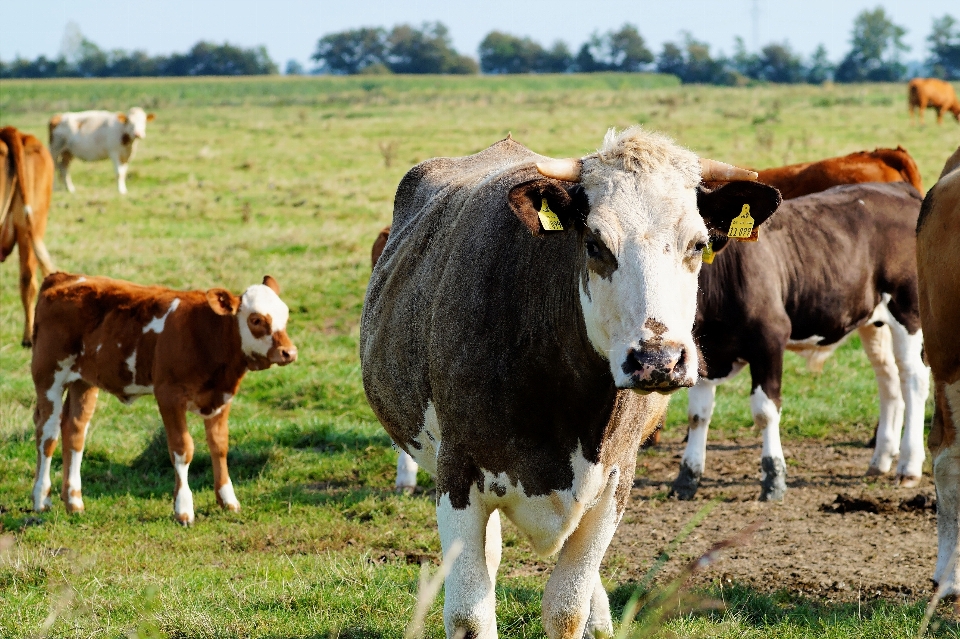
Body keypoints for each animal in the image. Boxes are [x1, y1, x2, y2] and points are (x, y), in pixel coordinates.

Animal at [31, 272, 296, 524]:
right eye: (256, 320)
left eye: (285, 315)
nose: (289, 352)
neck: (206, 333)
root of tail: (62, 277)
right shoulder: (169, 396)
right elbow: (182, 449)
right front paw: (184, 509)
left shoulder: (222, 397)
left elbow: (219, 446)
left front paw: (228, 500)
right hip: (48, 377)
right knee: (48, 434)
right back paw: (41, 499)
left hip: (84, 383)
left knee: (74, 432)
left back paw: (74, 502)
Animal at [672, 182, 928, 502]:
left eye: (697, 242)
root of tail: (898, 188)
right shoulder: (704, 351)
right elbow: (698, 414)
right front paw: (687, 478)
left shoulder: (770, 337)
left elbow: (765, 411)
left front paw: (773, 478)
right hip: (873, 320)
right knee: (889, 378)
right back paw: (880, 459)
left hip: (908, 308)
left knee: (913, 379)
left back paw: (909, 465)